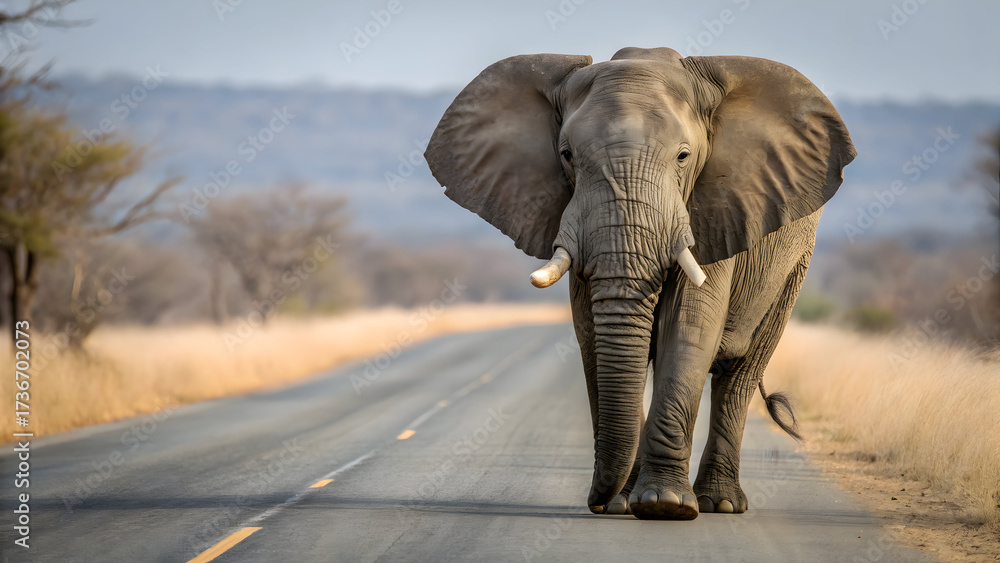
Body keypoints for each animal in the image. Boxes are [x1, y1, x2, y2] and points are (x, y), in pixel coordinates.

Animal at [424, 47, 855, 520]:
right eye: (567, 155)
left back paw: (719, 503)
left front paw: (666, 505)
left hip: (794, 264)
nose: (596, 501)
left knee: (741, 373)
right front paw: (625, 504)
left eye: (684, 157)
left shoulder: (714, 211)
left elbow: (688, 328)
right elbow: (592, 334)